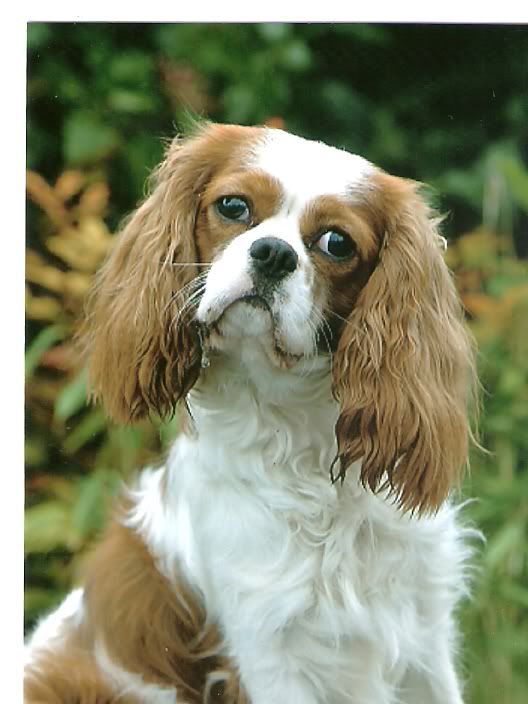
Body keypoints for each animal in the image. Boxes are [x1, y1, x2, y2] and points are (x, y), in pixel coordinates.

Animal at [25, 123, 476, 704]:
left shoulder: (422, 643)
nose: (273, 252)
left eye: (336, 243)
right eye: (233, 207)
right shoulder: (270, 653)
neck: (306, 448)